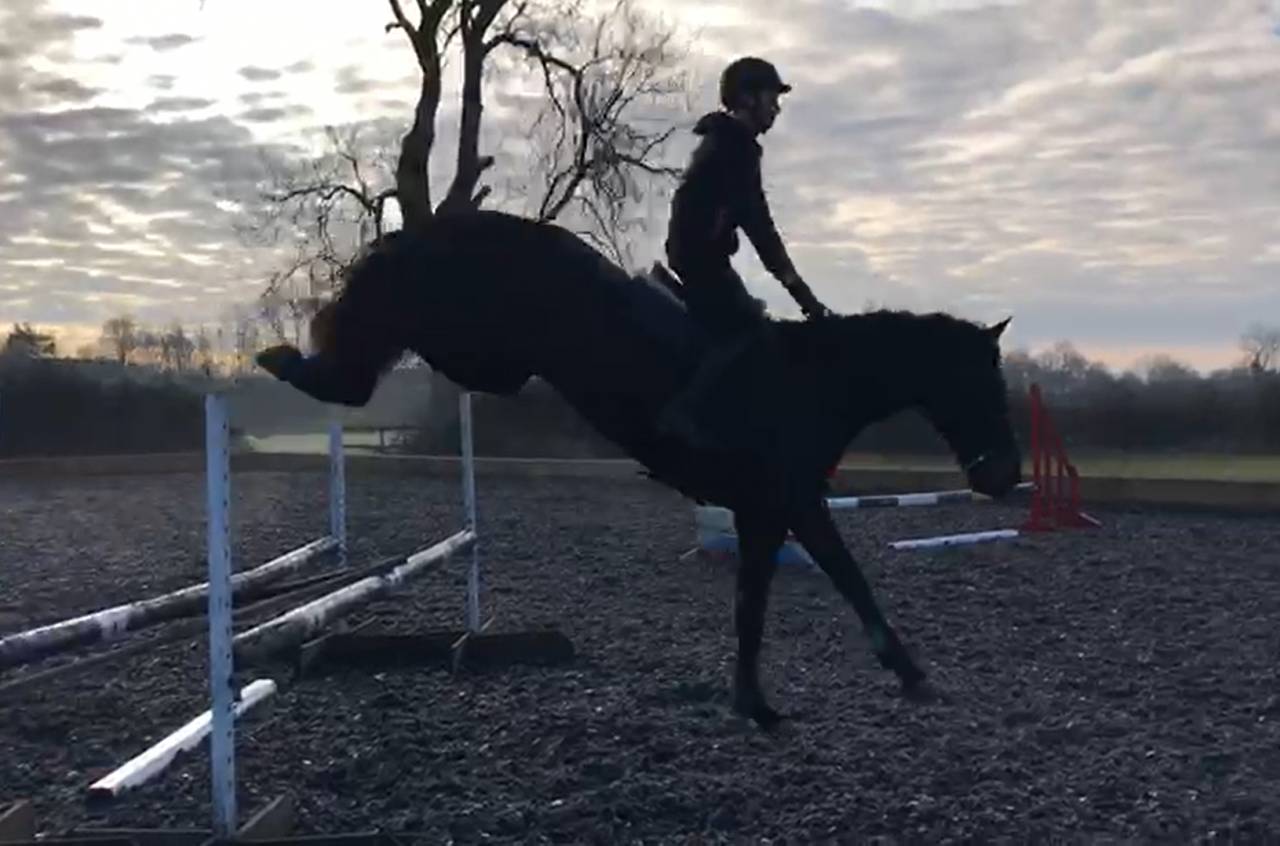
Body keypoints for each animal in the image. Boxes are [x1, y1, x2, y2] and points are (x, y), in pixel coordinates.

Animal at [256, 209, 1023, 729]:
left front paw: (759, 700)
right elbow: (837, 585)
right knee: (378, 351)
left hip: (495, 355)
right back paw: (286, 360)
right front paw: (900, 674)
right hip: (481, 338)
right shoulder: (788, 505)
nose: (1003, 477)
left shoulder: (771, 511)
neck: (814, 383)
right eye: (984, 390)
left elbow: (764, 602)